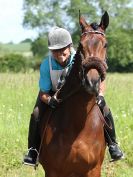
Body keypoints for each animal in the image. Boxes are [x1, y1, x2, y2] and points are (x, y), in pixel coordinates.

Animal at [38, 11, 109, 177]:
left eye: (105, 45)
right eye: (81, 45)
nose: (92, 82)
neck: (78, 127)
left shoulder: (93, 170)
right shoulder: (53, 171)